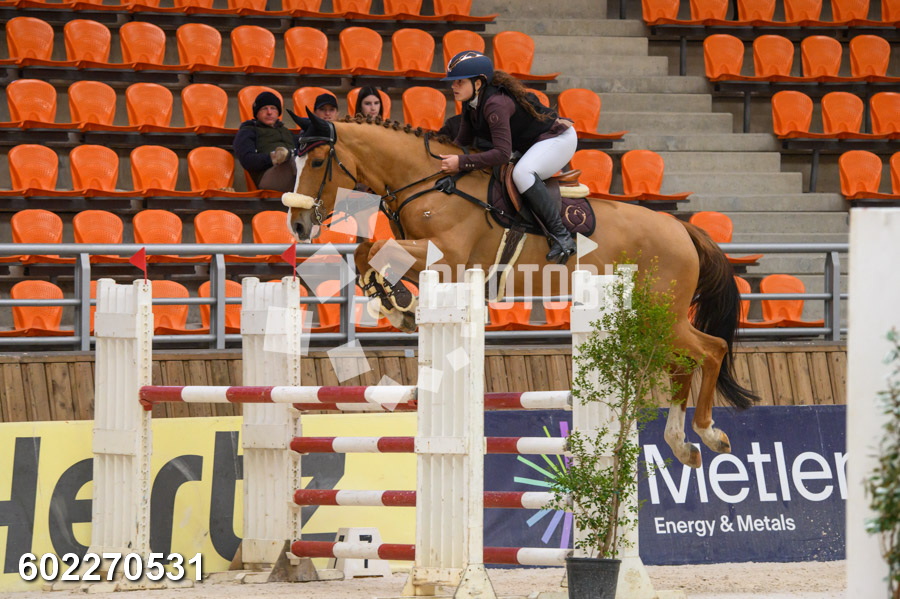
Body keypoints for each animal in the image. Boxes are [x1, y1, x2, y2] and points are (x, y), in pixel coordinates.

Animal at [282, 112, 757, 469]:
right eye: (293, 162)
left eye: (319, 160)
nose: (299, 225)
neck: (428, 181)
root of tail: (681, 228)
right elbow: (368, 249)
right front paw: (398, 303)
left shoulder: (449, 256)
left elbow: (377, 247)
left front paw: (398, 304)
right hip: (650, 317)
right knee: (684, 360)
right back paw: (682, 443)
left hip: (662, 312)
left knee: (711, 349)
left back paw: (708, 433)